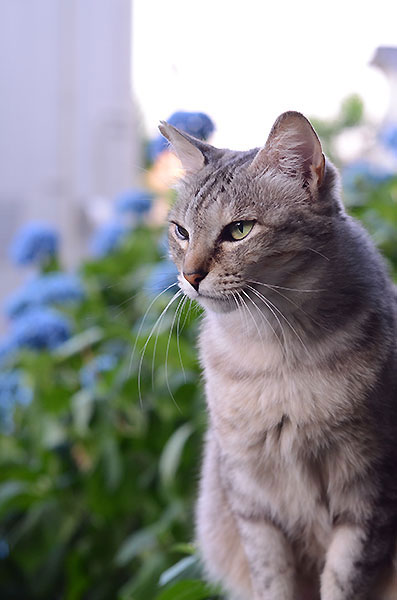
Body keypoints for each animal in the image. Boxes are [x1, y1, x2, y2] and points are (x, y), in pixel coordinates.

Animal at [158, 112, 396, 600]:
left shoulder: (370, 493)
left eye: (239, 230)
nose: (189, 276)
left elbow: (344, 580)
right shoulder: (254, 507)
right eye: (181, 232)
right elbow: (273, 582)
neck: (276, 359)